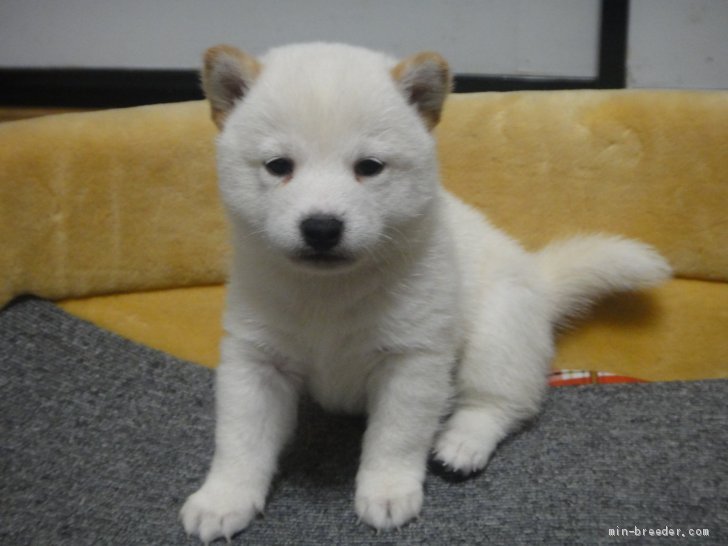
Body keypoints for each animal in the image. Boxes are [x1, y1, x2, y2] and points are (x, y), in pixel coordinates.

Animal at [182, 41, 672, 540]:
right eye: (279, 166)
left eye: (369, 167)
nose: (321, 227)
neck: (329, 293)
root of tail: (539, 277)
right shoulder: (256, 360)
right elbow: (241, 439)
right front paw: (224, 498)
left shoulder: (411, 361)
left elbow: (395, 437)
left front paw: (387, 490)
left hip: (497, 338)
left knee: (499, 402)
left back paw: (463, 441)